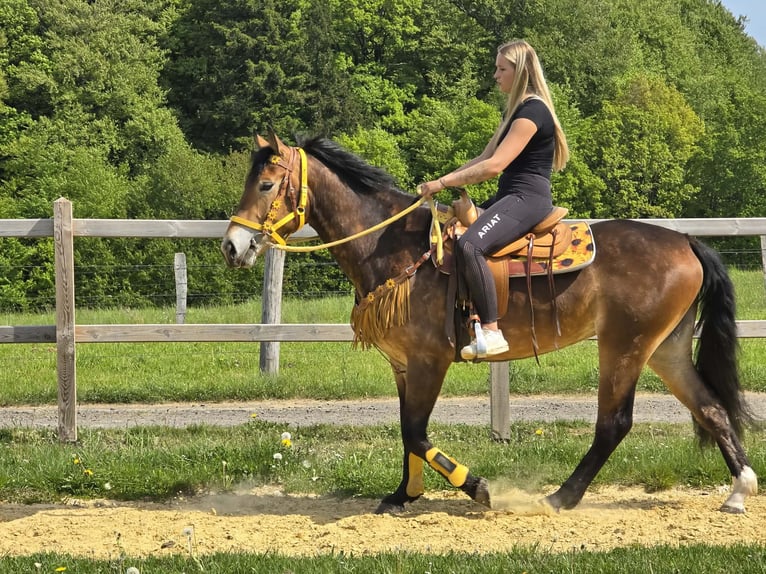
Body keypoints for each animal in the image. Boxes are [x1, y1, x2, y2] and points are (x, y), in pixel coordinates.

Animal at [221, 131, 758, 514]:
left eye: (266, 185)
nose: (232, 245)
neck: (395, 245)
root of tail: (686, 241)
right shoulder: (403, 365)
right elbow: (406, 431)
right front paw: (403, 494)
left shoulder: (429, 360)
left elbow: (416, 432)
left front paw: (477, 488)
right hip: (666, 347)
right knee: (711, 407)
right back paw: (739, 490)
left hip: (626, 344)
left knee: (614, 423)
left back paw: (561, 498)